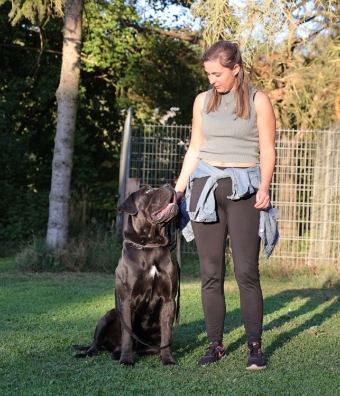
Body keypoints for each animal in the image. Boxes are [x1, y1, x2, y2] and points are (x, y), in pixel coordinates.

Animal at [73, 185, 179, 366]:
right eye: (147, 192)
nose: (169, 185)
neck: (150, 245)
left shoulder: (169, 300)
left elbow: (167, 334)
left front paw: (168, 359)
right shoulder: (127, 300)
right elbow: (127, 335)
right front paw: (126, 360)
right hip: (108, 315)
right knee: (96, 343)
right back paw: (96, 353)